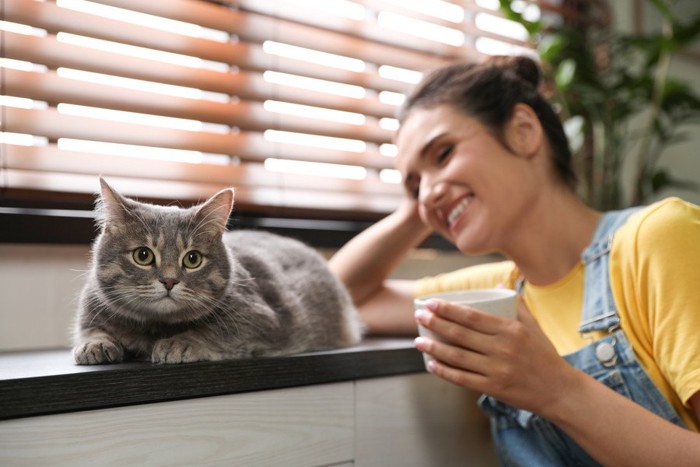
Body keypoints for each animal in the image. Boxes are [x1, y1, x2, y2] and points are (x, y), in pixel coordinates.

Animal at [74, 179, 364, 366]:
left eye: (192, 259)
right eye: (143, 255)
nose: (169, 281)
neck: (156, 327)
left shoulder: (261, 317)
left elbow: (216, 331)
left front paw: (181, 342)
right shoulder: (93, 306)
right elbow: (91, 329)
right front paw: (94, 344)